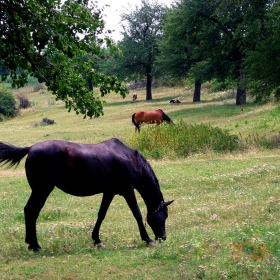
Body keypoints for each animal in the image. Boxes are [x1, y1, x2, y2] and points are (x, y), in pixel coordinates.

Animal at [0, 138, 173, 252]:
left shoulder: (109, 191)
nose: (163, 237)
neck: (129, 158)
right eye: (163, 216)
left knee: (29, 211)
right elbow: (137, 214)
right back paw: (35, 245)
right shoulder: (127, 189)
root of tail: (30, 148)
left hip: (40, 190)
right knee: (31, 211)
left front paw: (97, 240)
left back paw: (31, 243)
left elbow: (101, 214)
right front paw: (147, 239)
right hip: (41, 190)